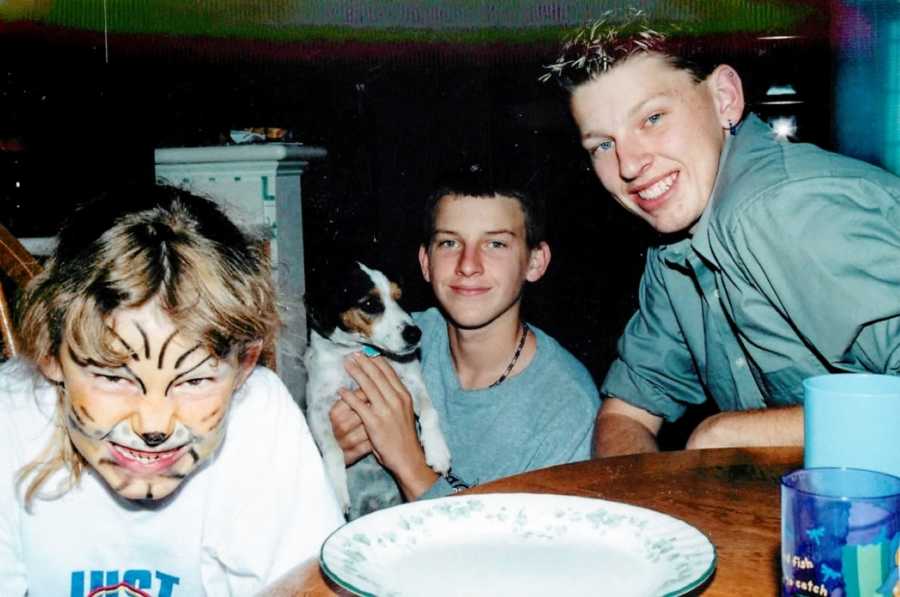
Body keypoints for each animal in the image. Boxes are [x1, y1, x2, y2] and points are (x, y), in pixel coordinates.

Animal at [304, 260, 450, 516]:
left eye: (400, 298)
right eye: (370, 304)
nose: (415, 334)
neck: (359, 351)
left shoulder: (412, 382)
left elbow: (430, 412)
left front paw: (438, 451)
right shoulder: (317, 408)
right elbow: (333, 450)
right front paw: (337, 490)